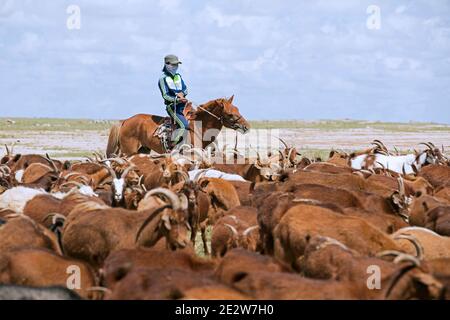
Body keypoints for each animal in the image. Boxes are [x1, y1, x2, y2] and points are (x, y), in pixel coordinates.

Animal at [107, 95, 251, 157]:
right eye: (230, 114)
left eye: (238, 109)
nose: (246, 127)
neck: (199, 127)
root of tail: (125, 120)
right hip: (128, 152)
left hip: (143, 150)